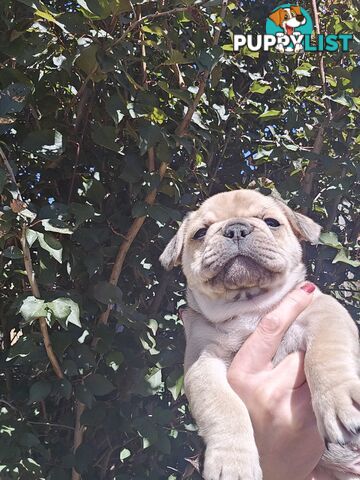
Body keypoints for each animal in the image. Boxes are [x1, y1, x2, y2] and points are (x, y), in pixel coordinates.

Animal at [160, 190, 360, 480]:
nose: (235, 229)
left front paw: (340, 401)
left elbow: (327, 355)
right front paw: (232, 462)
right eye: (200, 233)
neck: (248, 306)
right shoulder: (204, 361)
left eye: (272, 222)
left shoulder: (324, 312)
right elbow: (224, 406)